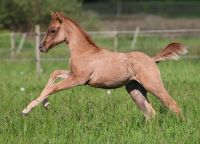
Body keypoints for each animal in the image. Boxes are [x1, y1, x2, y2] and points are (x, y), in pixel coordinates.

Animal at [22, 12, 188, 119]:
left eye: (53, 30)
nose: (41, 47)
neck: (83, 51)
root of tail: (152, 59)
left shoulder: (78, 79)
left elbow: (53, 87)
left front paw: (25, 110)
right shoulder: (73, 74)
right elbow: (54, 73)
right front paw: (44, 104)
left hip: (153, 85)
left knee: (173, 105)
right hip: (135, 90)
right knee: (150, 113)